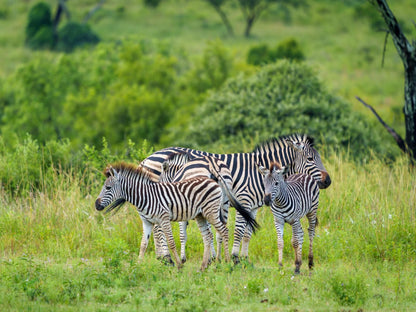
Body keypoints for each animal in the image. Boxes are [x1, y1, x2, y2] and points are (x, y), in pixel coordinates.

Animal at [94, 162, 258, 270]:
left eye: (107, 187)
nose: (96, 205)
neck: (145, 197)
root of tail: (213, 180)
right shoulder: (147, 222)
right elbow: (143, 245)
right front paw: (138, 266)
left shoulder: (163, 218)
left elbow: (172, 242)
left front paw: (178, 265)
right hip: (201, 215)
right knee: (208, 237)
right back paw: (203, 266)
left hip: (210, 212)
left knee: (223, 231)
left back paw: (227, 261)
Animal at [141, 133, 332, 262]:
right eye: (310, 158)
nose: (328, 181)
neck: (258, 173)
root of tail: (147, 158)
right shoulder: (244, 200)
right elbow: (239, 230)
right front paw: (234, 257)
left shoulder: (253, 207)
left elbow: (247, 233)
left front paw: (244, 258)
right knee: (158, 228)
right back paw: (166, 257)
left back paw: (163, 257)